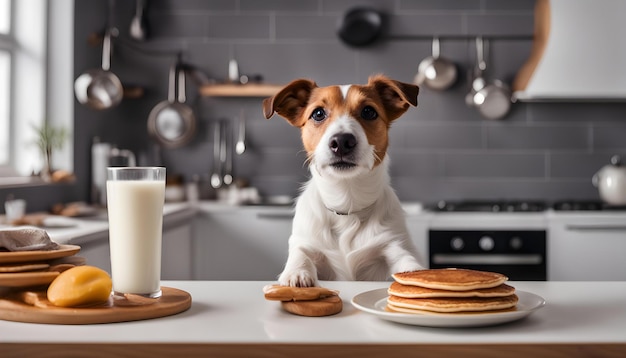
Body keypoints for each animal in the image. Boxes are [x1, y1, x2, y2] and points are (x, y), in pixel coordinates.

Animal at [258, 74, 424, 286]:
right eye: (318, 114)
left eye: (369, 112)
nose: (342, 141)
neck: (347, 201)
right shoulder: (304, 240)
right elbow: (300, 253)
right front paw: (297, 272)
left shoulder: (394, 242)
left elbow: (406, 259)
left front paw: (416, 275)